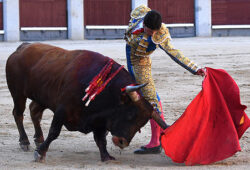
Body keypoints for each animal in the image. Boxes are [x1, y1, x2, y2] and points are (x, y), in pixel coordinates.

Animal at [5, 42, 168, 162]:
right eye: (129, 115)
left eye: (141, 124)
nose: (122, 142)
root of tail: (22, 48)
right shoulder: (62, 110)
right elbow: (54, 132)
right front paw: (40, 153)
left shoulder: (101, 120)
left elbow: (101, 139)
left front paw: (106, 157)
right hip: (18, 93)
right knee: (18, 114)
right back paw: (25, 142)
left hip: (42, 97)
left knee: (34, 112)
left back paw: (38, 138)